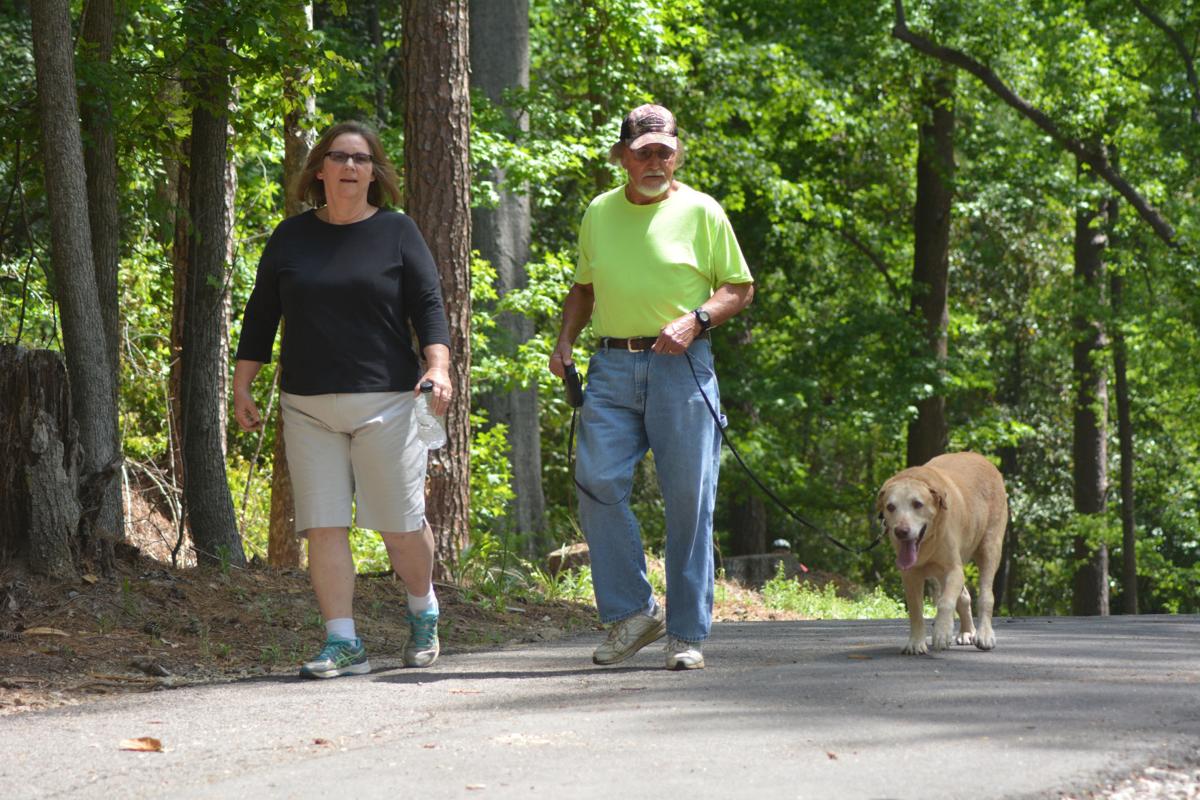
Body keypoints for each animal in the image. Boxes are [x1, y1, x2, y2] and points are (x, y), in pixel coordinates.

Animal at [878, 453, 1008, 652]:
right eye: (890, 507)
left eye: (917, 504)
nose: (901, 531)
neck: (928, 542)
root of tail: (982, 458)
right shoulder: (909, 575)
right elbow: (915, 609)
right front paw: (916, 642)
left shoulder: (954, 570)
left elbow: (945, 602)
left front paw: (941, 633)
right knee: (964, 596)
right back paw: (966, 632)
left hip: (990, 546)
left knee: (986, 595)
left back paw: (984, 634)